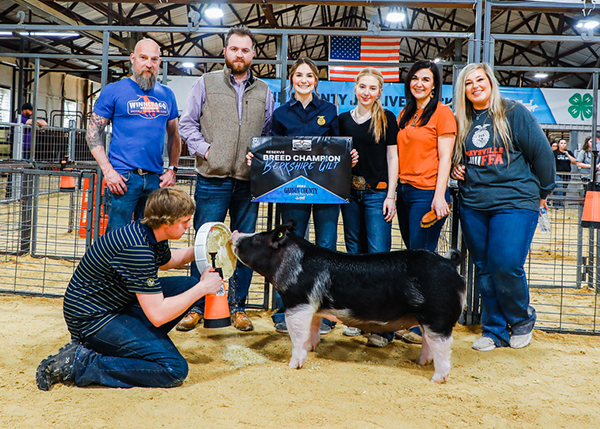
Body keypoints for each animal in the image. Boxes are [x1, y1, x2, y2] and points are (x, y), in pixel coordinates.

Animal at [230, 221, 464, 382]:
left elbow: (296, 336)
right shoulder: (313, 307)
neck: (293, 264)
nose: (235, 233)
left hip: (437, 316)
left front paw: (293, 365)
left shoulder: (298, 302)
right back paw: (420, 362)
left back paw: (437, 378)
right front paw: (312, 348)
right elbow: (312, 329)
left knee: (443, 346)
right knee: (428, 341)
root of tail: (450, 264)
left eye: (258, 239)